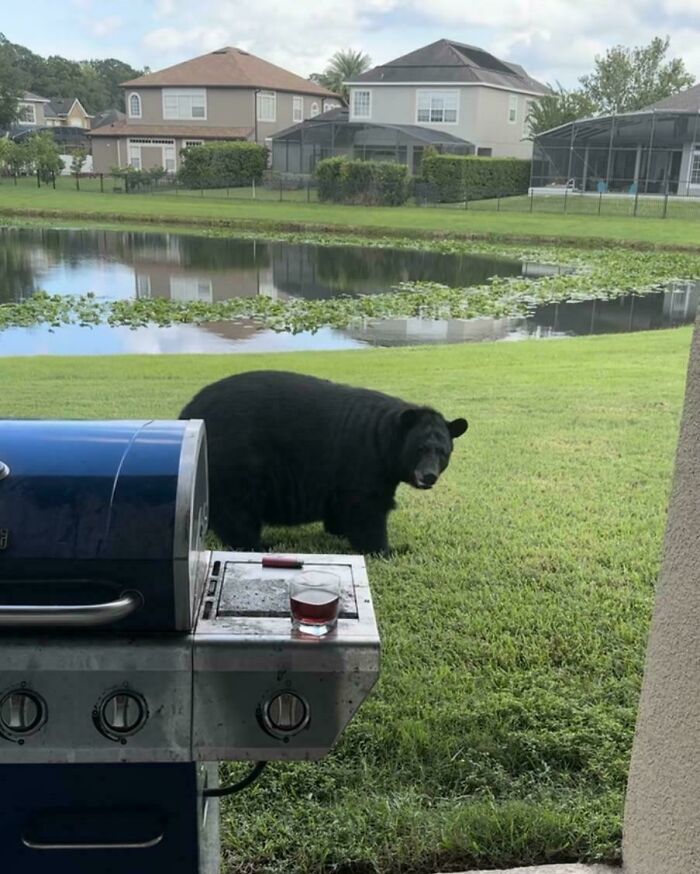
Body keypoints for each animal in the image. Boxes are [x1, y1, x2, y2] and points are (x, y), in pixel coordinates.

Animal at [179, 370, 468, 557]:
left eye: (443, 452)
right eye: (419, 449)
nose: (428, 476)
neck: (384, 438)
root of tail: (187, 413)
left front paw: (338, 529)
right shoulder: (364, 462)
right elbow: (367, 509)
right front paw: (389, 549)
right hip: (237, 459)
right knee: (237, 509)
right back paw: (258, 543)